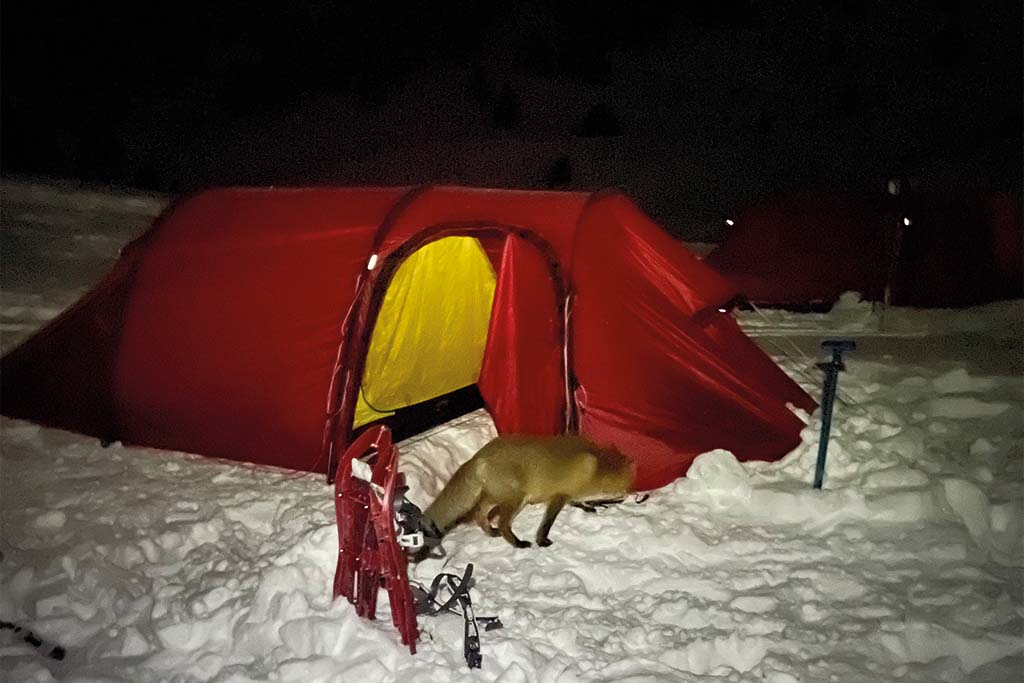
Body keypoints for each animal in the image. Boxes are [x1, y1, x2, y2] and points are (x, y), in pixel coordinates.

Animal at [419, 438, 634, 548]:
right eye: (617, 489)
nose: (629, 494)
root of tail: (476, 457)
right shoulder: (559, 495)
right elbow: (547, 523)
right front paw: (542, 541)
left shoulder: (567, 494)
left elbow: (577, 502)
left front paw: (586, 506)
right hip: (515, 499)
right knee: (503, 523)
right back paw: (517, 543)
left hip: (497, 497)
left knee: (480, 513)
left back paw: (491, 532)